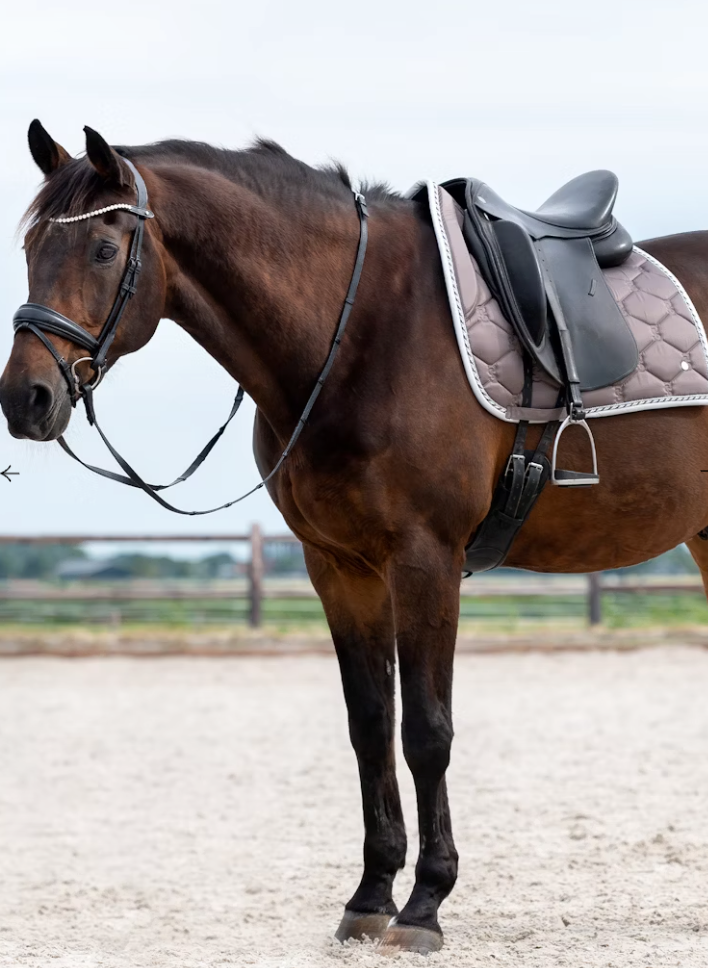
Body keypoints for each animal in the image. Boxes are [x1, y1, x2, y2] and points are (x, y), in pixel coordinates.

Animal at [1, 123, 708, 952]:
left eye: (104, 250)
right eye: (30, 246)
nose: (25, 398)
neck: (357, 330)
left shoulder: (426, 560)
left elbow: (426, 732)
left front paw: (426, 904)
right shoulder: (340, 568)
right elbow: (370, 725)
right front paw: (371, 897)